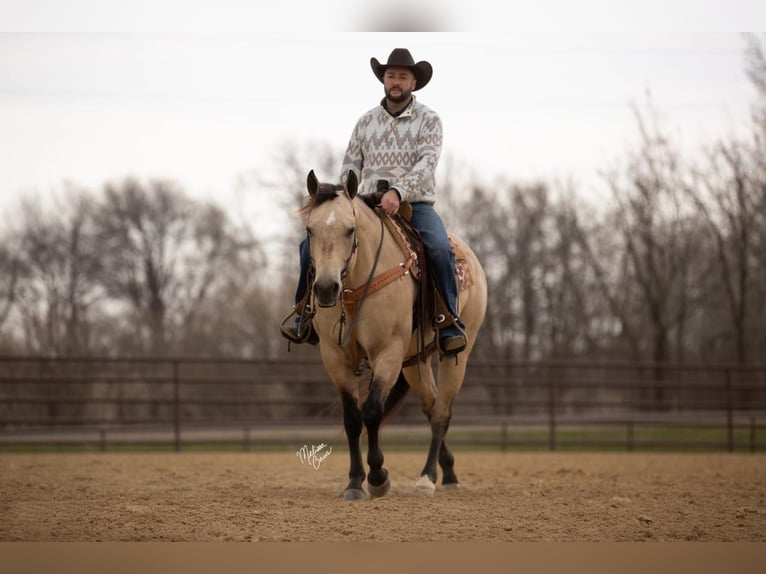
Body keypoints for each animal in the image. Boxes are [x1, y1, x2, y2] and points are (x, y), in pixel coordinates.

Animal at [298, 170, 486, 500]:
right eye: (310, 230)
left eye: (350, 230)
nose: (325, 288)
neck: (355, 289)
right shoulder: (334, 357)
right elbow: (352, 418)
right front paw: (354, 482)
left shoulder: (388, 351)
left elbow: (372, 411)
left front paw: (377, 477)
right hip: (414, 361)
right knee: (431, 405)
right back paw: (448, 470)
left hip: (459, 353)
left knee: (442, 412)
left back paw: (428, 477)